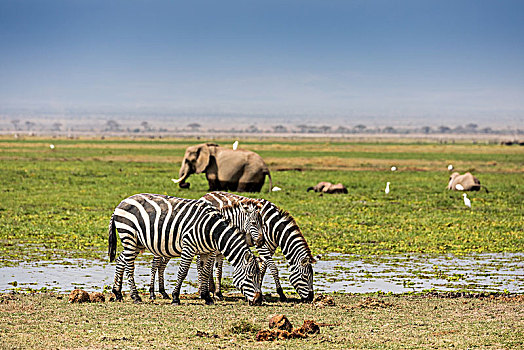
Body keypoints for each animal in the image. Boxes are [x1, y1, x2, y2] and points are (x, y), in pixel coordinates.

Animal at [107, 193, 262, 304]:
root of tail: (121, 203)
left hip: (137, 243)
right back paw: (136, 296)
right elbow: (183, 272)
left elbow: (205, 272)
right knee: (130, 266)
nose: (259, 300)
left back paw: (118, 293)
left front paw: (207, 297)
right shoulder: (189, 247)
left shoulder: (208, 251)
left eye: (259, 276)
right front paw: (176, 297)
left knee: (121, 260)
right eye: (250, 276)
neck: (212, 229)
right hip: (129, 236)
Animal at [151, 193, 316, 302]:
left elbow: (263, 268)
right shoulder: (263, 246)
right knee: (157, 262)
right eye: (305, 277)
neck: (273, 227)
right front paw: (281, 294)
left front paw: (261, 290)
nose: (310, 298)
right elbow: (273, 268)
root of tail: (205, 196)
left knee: (163, 264)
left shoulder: (269, 246)